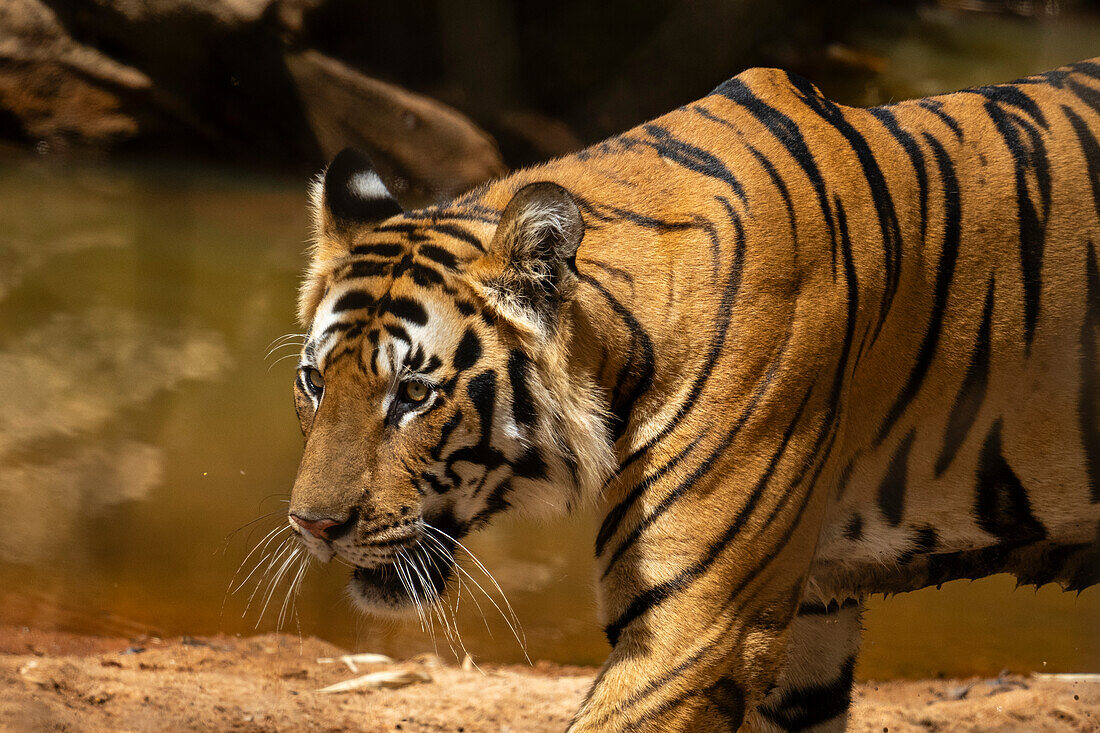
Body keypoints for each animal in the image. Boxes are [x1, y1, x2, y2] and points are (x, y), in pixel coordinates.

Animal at [290, 58, 1100, 730]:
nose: (312, 526)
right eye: (315, 382)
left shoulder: (697, 629)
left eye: (413, 393)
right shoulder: (812, 610)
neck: (620, 340)